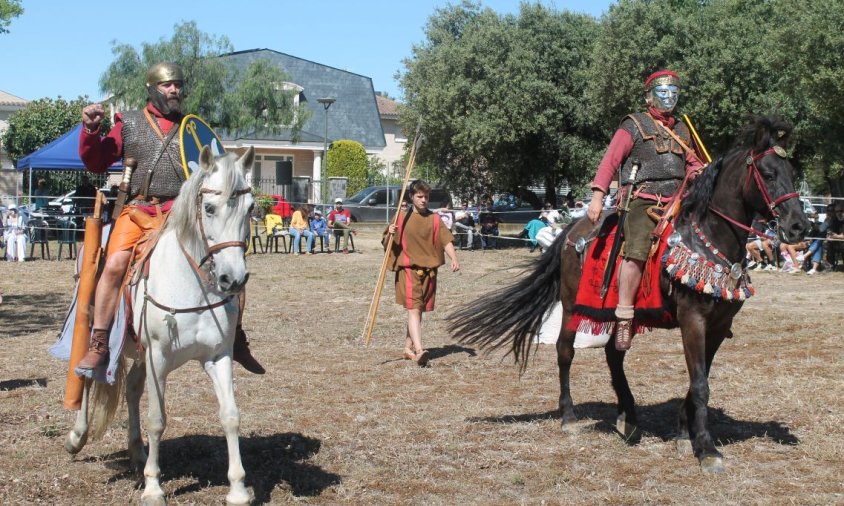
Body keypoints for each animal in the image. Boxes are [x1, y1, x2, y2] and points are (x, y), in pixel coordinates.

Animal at [65, 144, 256, 504]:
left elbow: (231, 416)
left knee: (131, 388)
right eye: (209, 207)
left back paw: (137, 451)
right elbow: (157, 419)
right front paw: (153, 486)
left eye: (251, 208)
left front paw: (238, 487)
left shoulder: (218, 357)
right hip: (98, 332)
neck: (192, 285)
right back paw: (78, 435)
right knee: (86, 377)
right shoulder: (158, 358)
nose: (233, 279)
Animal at [448, 116, 812, 472]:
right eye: (768, 174)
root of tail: (572, 230)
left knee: (613, 355)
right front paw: (707, 450)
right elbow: (700, 385)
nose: (799, 226)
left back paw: (628, 416)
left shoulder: (719, 325)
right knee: (566, 353)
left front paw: (684, 434)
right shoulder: (693, 320)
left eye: (792, 174)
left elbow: (698, 380)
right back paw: (569, 416)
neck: (708, 236)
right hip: (570, 306)